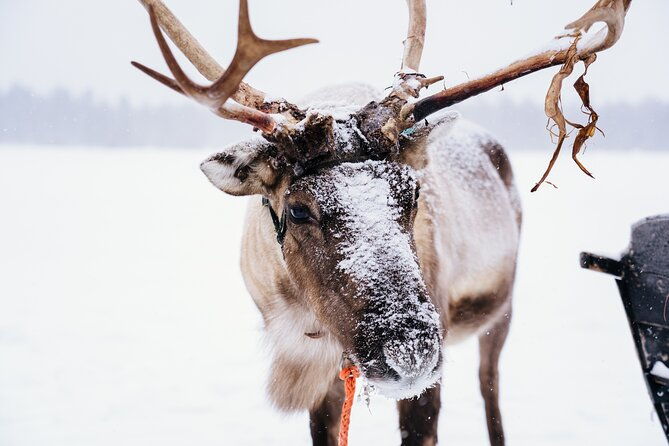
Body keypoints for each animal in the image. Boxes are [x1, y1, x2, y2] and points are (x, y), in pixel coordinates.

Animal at [131, 0, 632, 444]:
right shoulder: (325, 374)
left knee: (491, 391)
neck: (299, 318)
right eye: (297, 208)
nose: (409, 351)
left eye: (412, 192)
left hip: (500, 313)